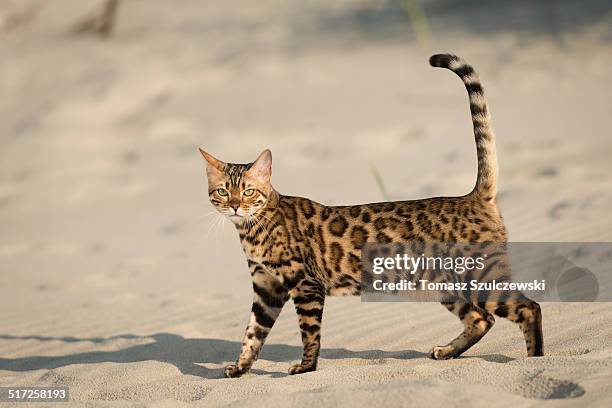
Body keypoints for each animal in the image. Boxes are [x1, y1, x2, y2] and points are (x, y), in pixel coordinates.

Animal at [198, 54, 544, 380]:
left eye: (248, 191)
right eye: (223, 191)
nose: (235, 206)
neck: (253, 230)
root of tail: (474, 196)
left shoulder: (306, 284)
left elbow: (309, 333)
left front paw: (306, 367)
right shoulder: (266, 288)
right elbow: (252, 334)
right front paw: (240, 368)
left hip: (481, 276)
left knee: (529, 308)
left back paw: (537, 360)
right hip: (444, 283)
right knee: (481, 319)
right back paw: (448, 352)